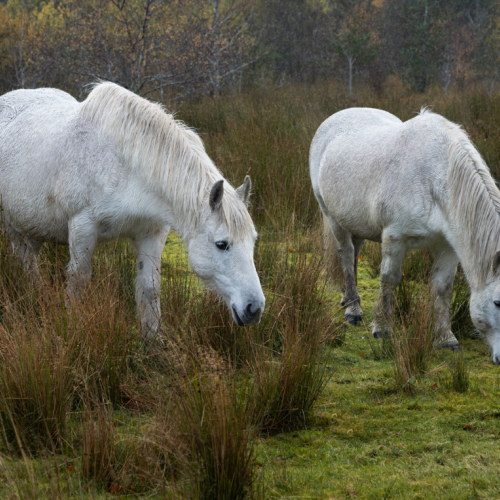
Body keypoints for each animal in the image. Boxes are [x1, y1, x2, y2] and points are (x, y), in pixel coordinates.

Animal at [0, 83, 266, 340]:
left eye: (253, 241)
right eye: (222, 244)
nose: (254, 308)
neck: (124, 166)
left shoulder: (151, 233)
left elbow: (149, 288)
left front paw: (153, 342)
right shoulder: (82, 228)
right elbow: (78, 283)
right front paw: (73, 329)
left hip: (32, 229)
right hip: (13, 228)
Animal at [310, 107, 500, 364]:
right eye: (498, 302)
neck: (434, 179)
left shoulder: (447, 247)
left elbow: (443, 288)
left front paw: (445, 339)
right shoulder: (395, 238)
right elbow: (389, 279)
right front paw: (382, 328)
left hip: (355, 222)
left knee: (354, 254)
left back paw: (348, 298)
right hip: (332, 217)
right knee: (346, 255)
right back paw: (353, 309)